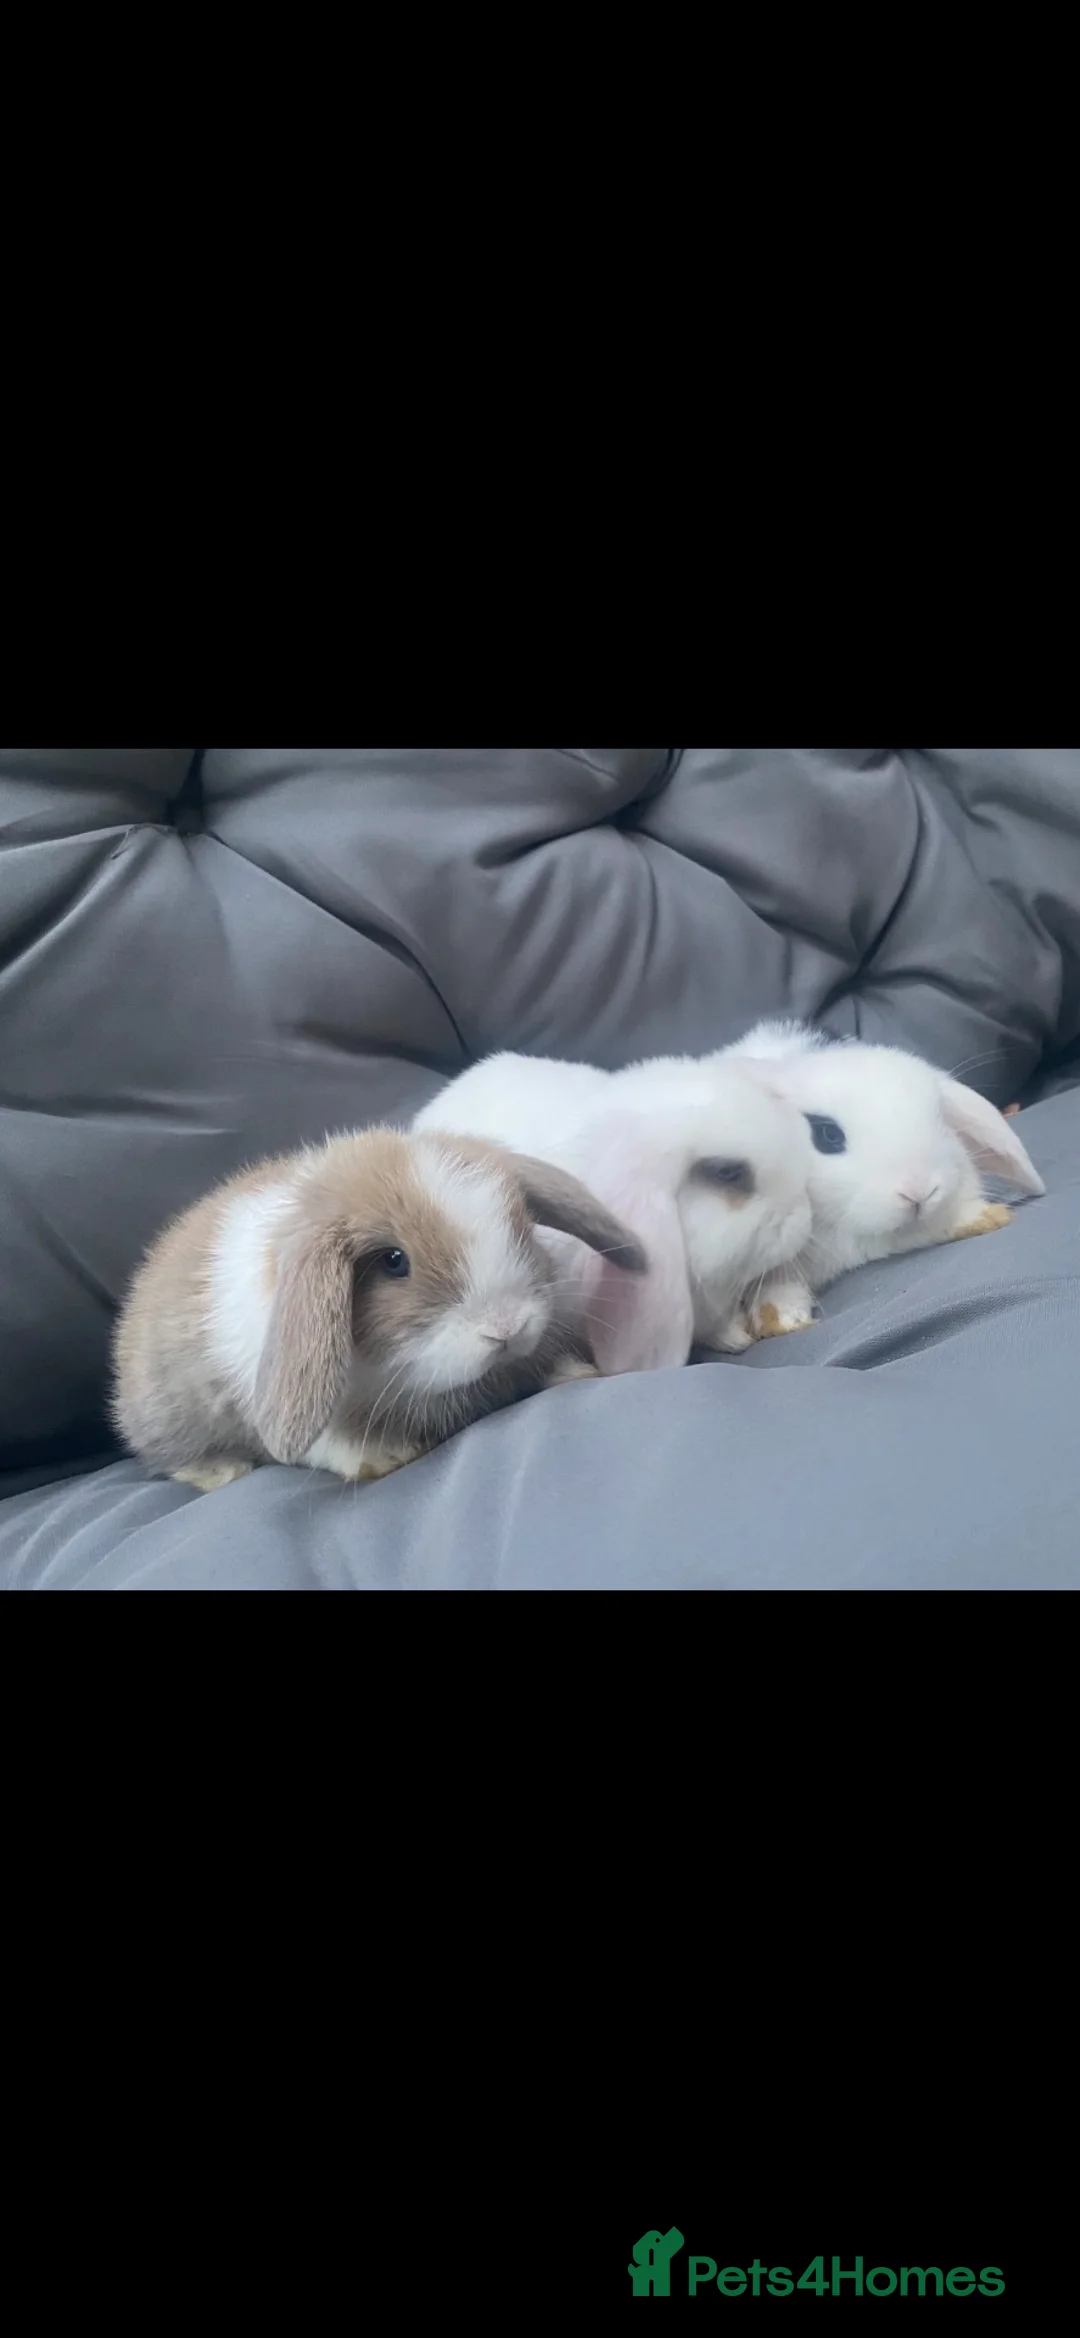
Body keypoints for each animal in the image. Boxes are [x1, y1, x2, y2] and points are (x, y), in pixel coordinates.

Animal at [111, 1126, 647, 1490]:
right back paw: (223, 1471)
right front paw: (387, 1457)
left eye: (522, 1227)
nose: (507, 1327)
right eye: (394, 1262)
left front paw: (576, 1372)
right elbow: (332, 1444)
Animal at [722, 1018, 1046, 1336]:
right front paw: (783, 1319)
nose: (919, 1191)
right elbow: (779, 1285)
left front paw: (986, 1217)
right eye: (827, 1134)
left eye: (939, 1117)